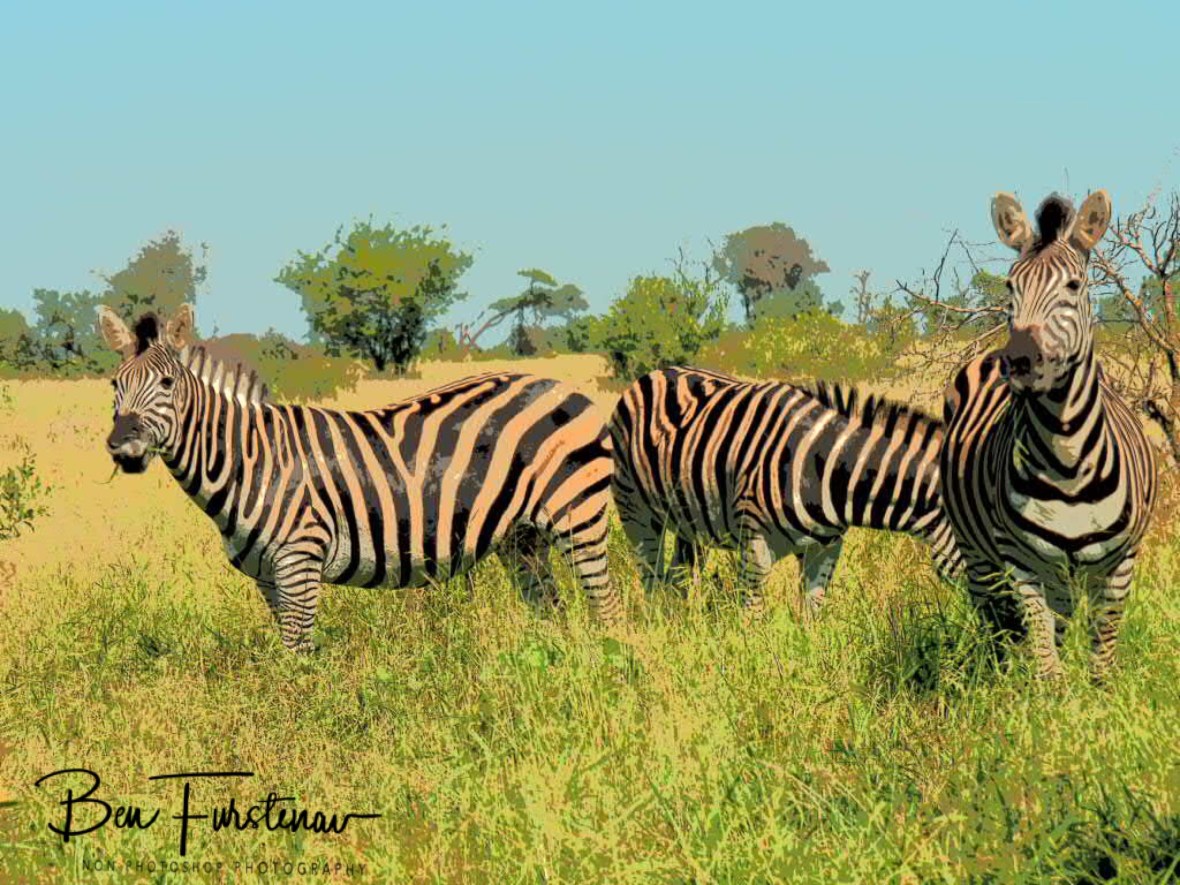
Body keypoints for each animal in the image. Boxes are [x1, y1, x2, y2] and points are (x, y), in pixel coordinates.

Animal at [97, 304, 621, 652]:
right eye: (115, 385)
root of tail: (564, 386)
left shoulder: (299, 561)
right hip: (522, 538)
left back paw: (610, 667)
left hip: (578, 517)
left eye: (167, 384)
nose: (122, 448)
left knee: (606, 605)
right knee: (551, 611)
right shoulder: (267, 577)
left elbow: (298, 657)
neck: (250, 460)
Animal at [608, 366, 963, 617]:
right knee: (651, 576)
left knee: (678, 577)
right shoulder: (754, 546)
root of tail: (656, 372)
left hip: (688, 521)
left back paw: (683, 626)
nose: (971, 633)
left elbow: (811, 615)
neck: (822, 471)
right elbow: (752, 617)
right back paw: (661, 628)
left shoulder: (825, 548)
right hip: (635, 513)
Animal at [940, 189, 1157, 681]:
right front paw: (1043, 701)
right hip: (978, 555)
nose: (1019, 361)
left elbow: (1101, 658)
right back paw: (1000, 678)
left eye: (1074, 286)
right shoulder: (1023, 563)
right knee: (998, 627)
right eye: (1009, 287)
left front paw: (1095, 700)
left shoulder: (1119, 566)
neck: (1066, 455)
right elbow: (1044, 663)